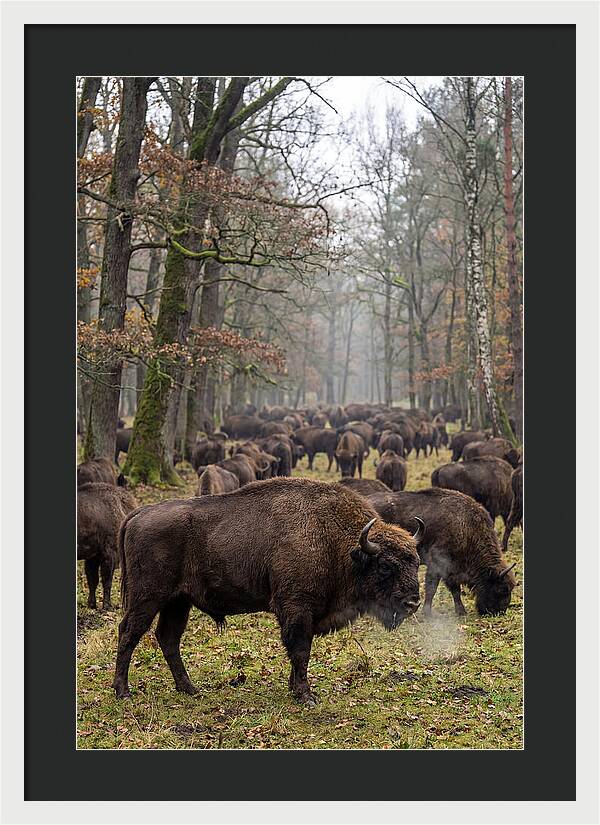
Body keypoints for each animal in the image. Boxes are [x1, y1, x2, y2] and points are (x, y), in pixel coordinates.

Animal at [113, 478, 422, 705]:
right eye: (386, 566)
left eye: (416, 562)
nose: (413, 603)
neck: (341, 545)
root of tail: (137, 514)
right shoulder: (297, 608)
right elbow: (300, 650)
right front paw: (306, 696)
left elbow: (299, 652)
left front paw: (294, 689)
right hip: (148, 598)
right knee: (129, 632)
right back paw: (123, 692)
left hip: (178, 602)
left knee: (168, 638)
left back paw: (189, 689)